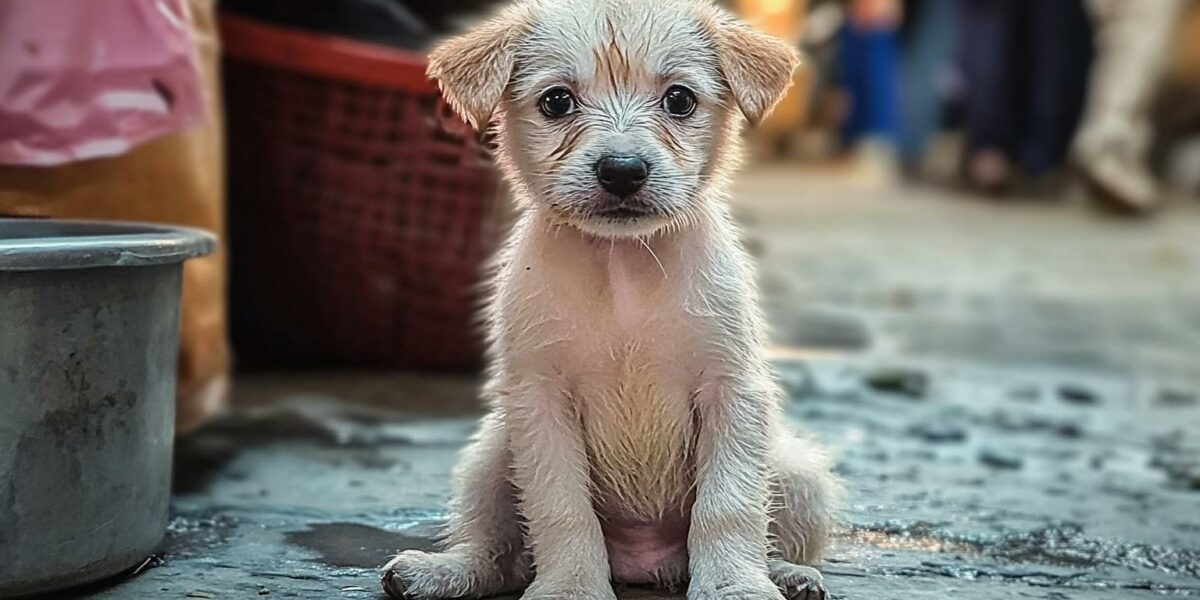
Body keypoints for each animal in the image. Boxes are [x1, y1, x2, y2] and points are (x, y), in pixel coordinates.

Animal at [384, 1, 844, 600]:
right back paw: (441, 572)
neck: (622, 267)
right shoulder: (541, 400)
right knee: (500, 554)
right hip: (491, 455)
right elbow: (560, 508)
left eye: (680, 99)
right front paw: (571, 587)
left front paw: (734, 585)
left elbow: (729, 506)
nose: (622, 171)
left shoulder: (732, 393)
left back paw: (788, 575)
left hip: (799, 474)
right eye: (557, 101)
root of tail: (647, 566)